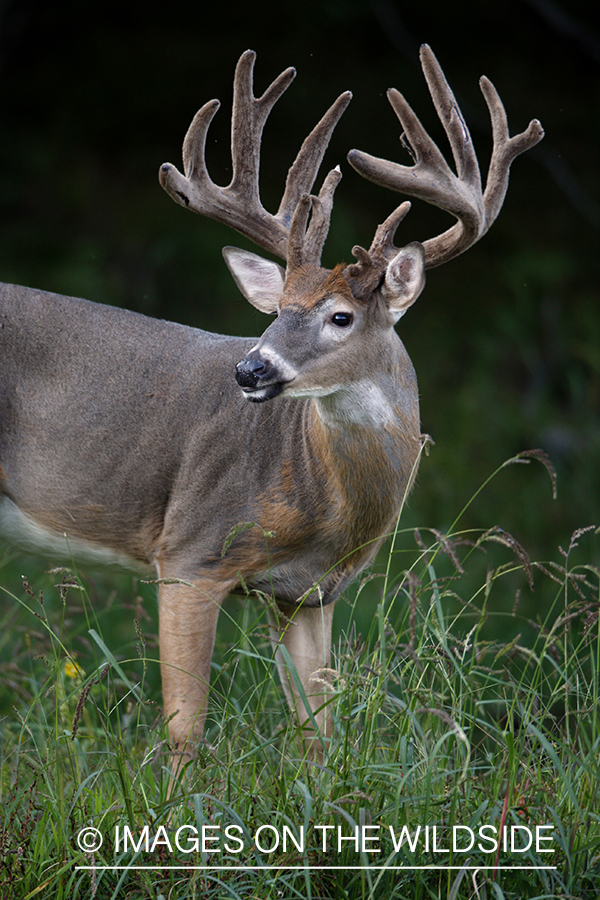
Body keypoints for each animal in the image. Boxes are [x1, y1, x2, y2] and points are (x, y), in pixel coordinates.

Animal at [0, 47, 544, 768]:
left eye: (340, 316)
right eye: (278, 308)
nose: (250, 369)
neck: (326, 507)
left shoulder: (309, 595)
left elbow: (319, 736)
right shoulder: (191, 551)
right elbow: (185, 732)